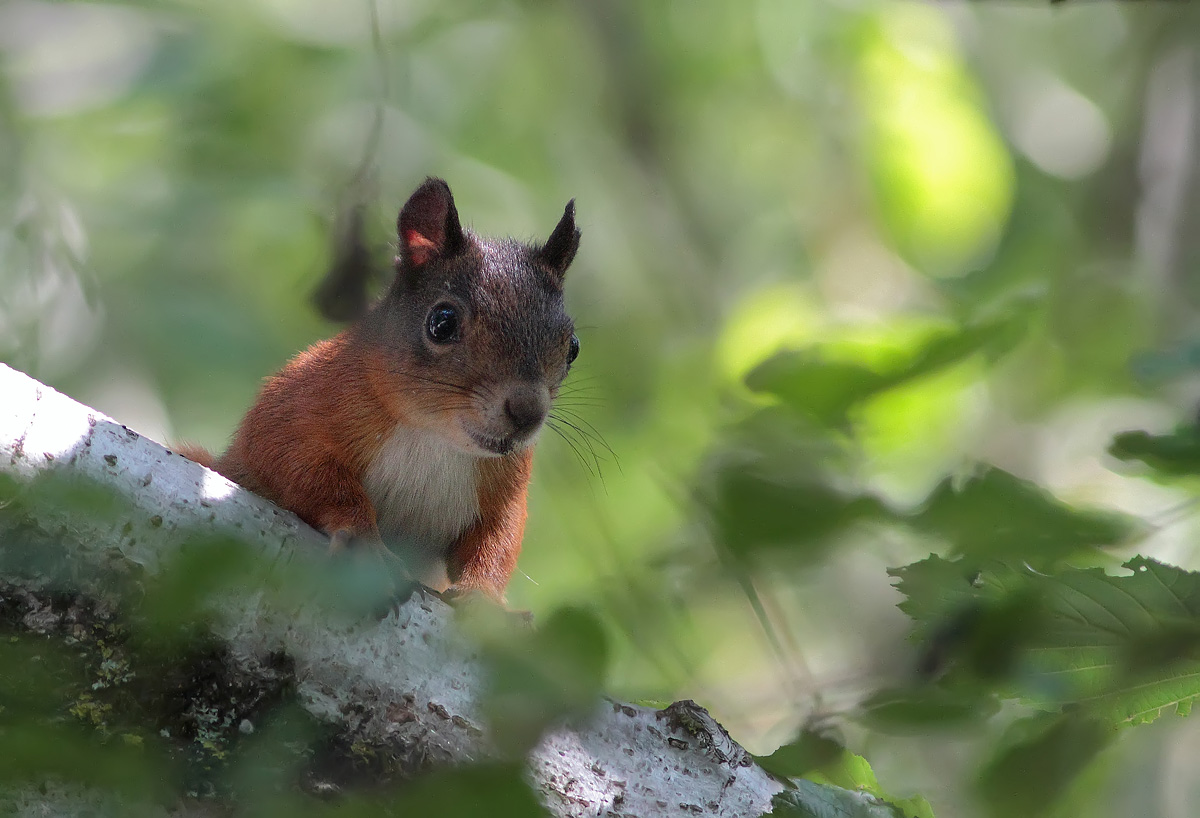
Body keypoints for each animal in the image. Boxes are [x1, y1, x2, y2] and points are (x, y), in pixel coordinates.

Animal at [178, 177, 580, 601]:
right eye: (442, 322)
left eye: (573, 347)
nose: (527, 412)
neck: (434, 436)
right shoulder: (299, 401)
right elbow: (298, 464)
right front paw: (363, 540)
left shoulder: (506, 484)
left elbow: (497, 537)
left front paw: (484, 598)